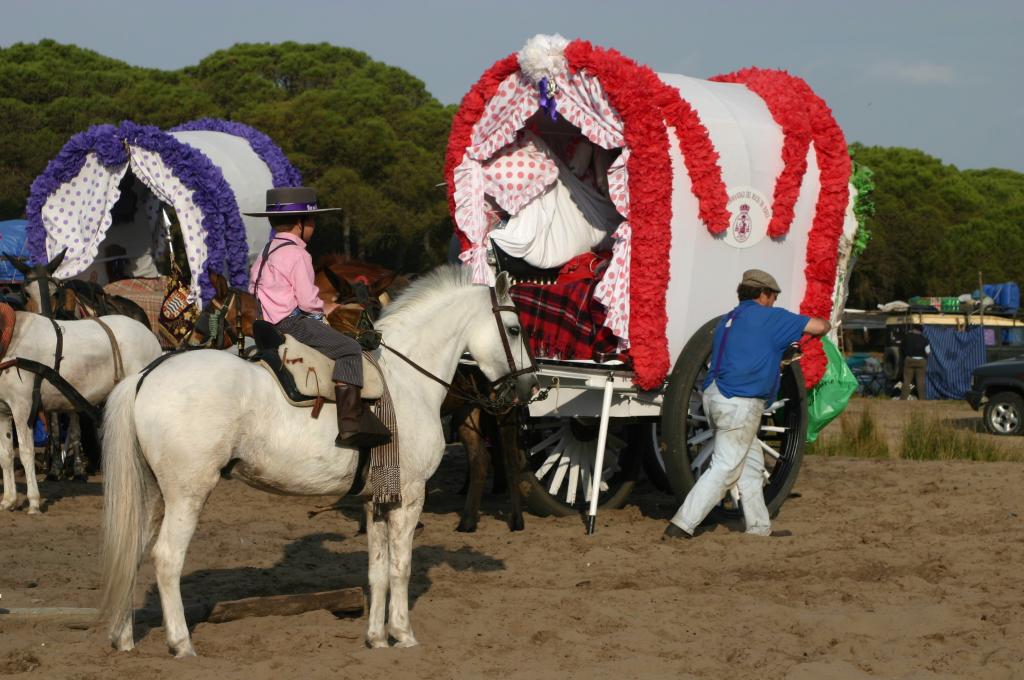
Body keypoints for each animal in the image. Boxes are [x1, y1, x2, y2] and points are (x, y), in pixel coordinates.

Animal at [0, 311, 161, 510]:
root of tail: (152, 338)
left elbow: (25, 453)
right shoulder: (3, 412)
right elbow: (6, 455)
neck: (13, 339)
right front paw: (9, 500)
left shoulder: (22, 408)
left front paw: (34, 501)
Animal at [97, 268, 536, 655]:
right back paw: (181, 643)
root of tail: (146, 376)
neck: (407, 379)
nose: (531, 385)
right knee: (167, 559)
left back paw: (124, 638)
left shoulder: (377, 499)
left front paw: (377, 639)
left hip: (154, 495)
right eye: (515, 329)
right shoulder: (409, 497)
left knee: (133, 552)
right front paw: (403, 635)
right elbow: (401, 568)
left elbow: (378, 571)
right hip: (188, 494)